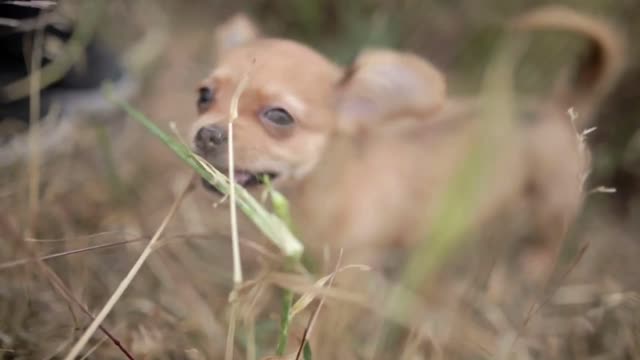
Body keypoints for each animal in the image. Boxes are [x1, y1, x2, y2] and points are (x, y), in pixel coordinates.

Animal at [194, 9, 624, 278]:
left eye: (279, 117)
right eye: (203, 95)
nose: (205, 133)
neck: (316, 194)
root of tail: (557, 108)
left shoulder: (348, 274)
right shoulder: (285, 254)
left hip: (554, 202)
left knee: (552, 236)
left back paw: (536, 263)